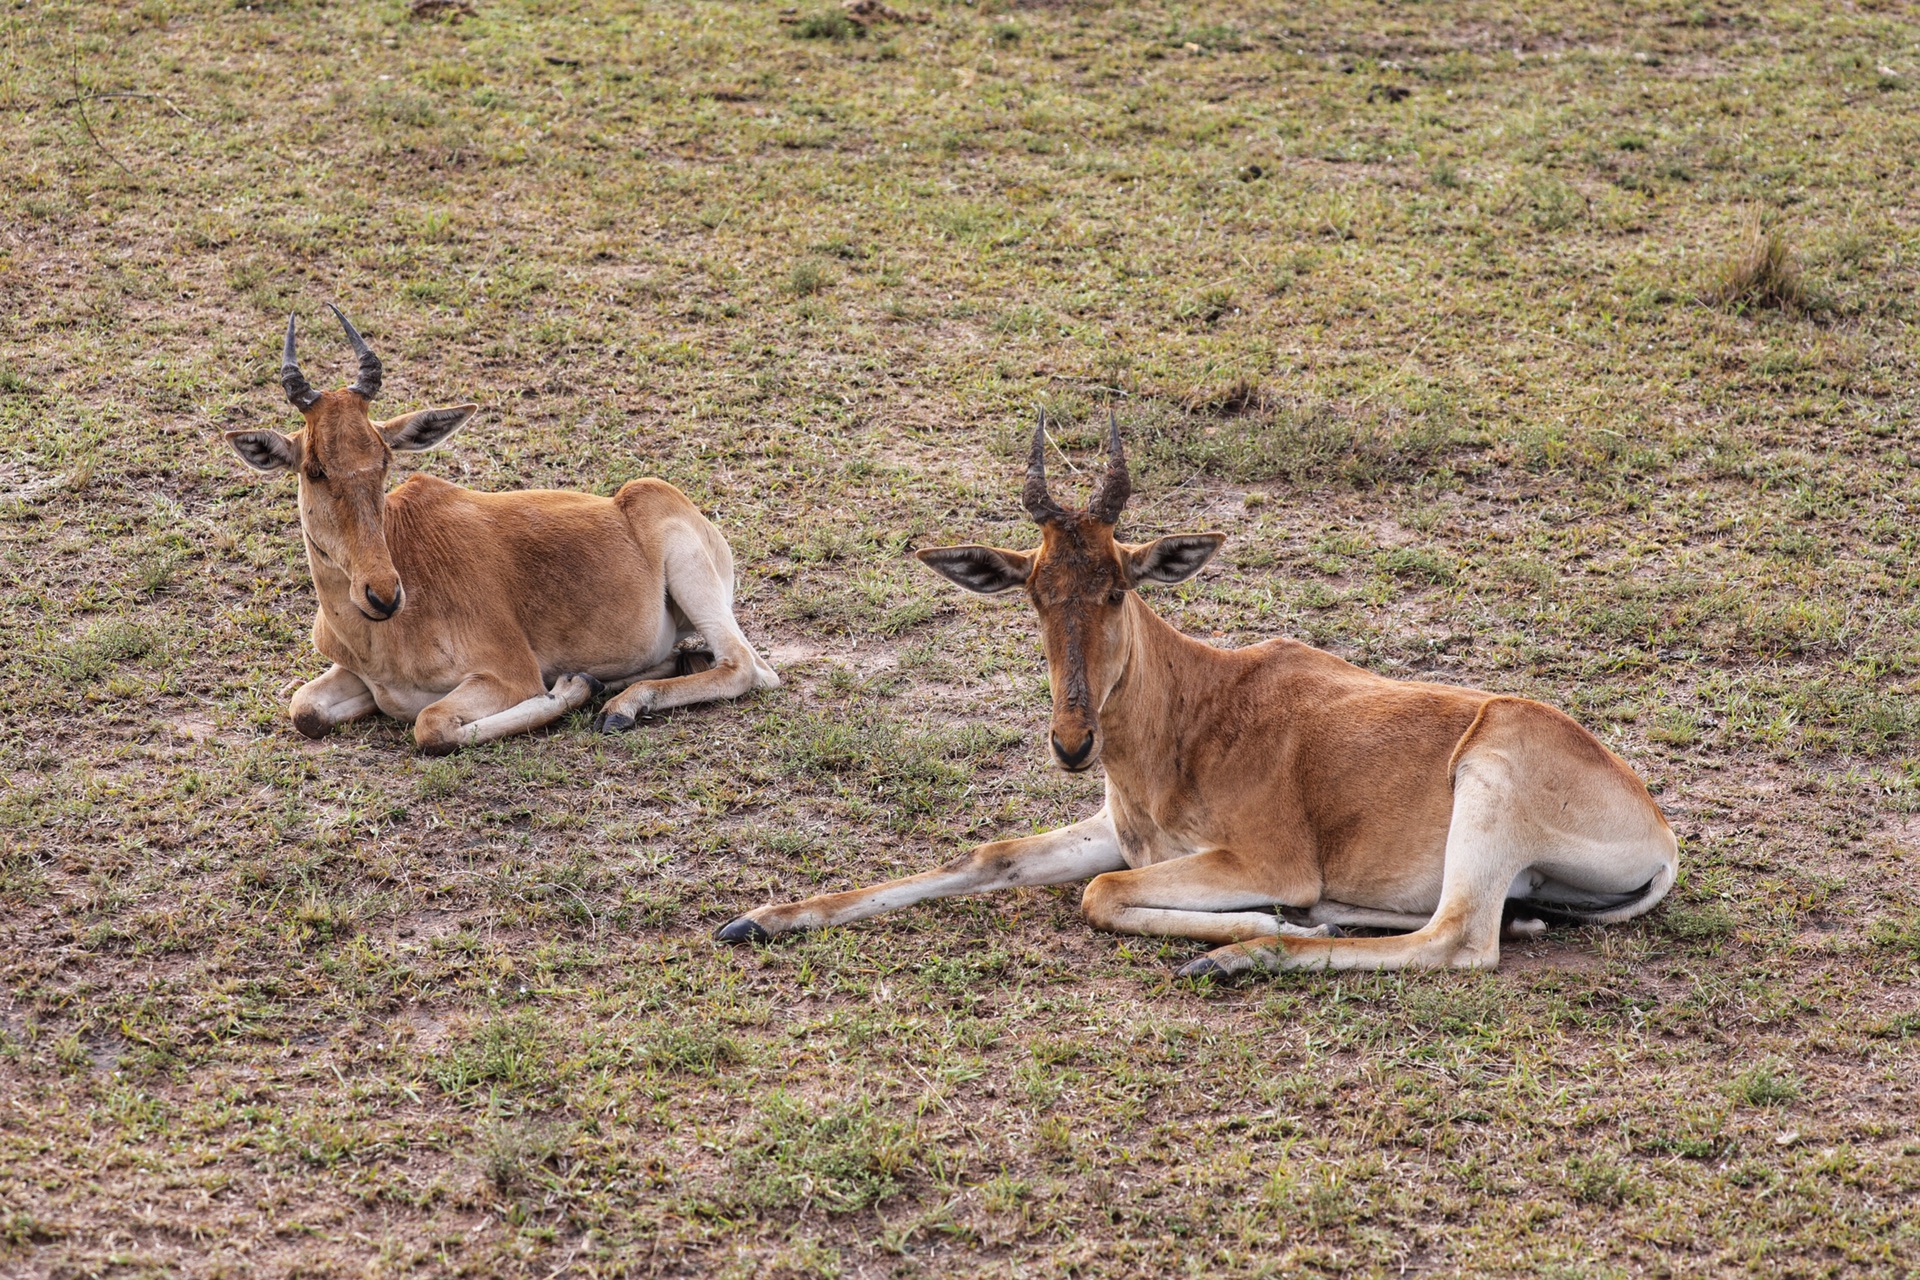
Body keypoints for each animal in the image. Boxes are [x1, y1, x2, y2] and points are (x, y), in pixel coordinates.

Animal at [232, 307, 779, 756]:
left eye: (385, 459)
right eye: (314, 468)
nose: (383, 594)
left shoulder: (510, 675)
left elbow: (431, 725)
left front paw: (574, 689)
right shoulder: (356, 678)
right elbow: (304, 711)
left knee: (747, 667)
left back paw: (619, 705)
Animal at [721, 416, 1681, 974]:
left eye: (1119, 585)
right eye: (1034, 588)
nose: (1071, 742)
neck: (1202, 703)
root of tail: (1657, 826)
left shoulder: (1264, 861)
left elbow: (1102, 896)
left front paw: (1272, 927)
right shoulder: (1115, 829)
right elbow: (989, 856)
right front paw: (761, 918)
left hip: (1489, 779)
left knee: (1457, 941)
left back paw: (1251, 954)